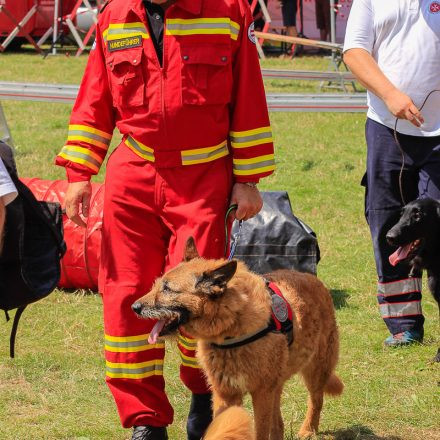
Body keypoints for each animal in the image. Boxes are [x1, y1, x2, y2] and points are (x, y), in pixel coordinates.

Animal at [131, 239, 344, 438]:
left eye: (167, 289)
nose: (134, 307)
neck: (232, 325)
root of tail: (313, 279)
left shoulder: (261, 393)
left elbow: (260, 432)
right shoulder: (226, 394)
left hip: (316, 371)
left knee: (316, 400)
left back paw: (308, 429)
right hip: (278, 385)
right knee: (279, 424)